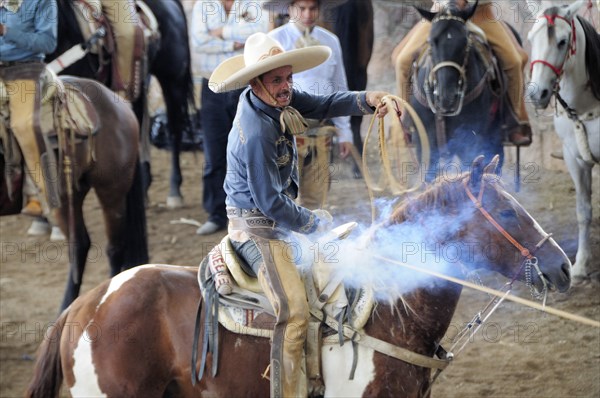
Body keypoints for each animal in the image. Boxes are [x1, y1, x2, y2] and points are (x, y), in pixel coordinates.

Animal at [528, 0, 600, 280]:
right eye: (531, 39)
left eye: (561, 41)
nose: (537, 94)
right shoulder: (574, 159)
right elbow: (583, 211)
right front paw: (580, 265)